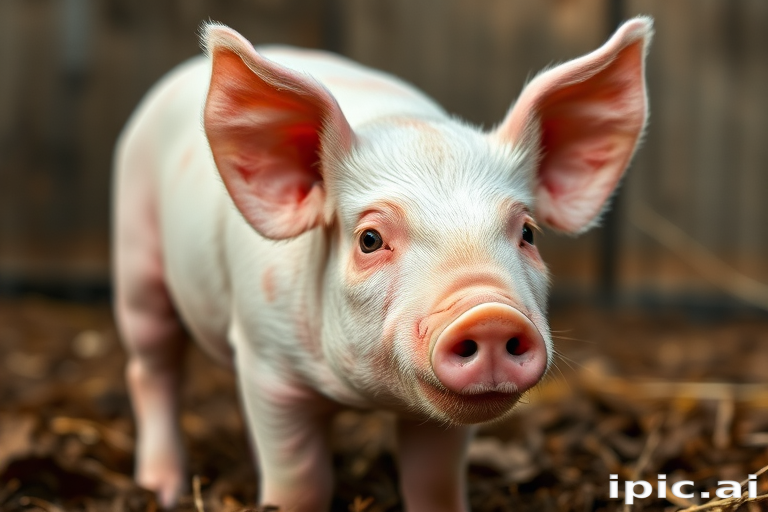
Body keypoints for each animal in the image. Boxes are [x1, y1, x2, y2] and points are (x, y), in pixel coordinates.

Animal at [113, 16, 653, 511]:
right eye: (369, 240)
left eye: (528, 233)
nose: (490, 314)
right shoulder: (266, 361)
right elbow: (299, 479)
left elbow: (433, 480)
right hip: (136, 256)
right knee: (151, 367)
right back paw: (162, 488)